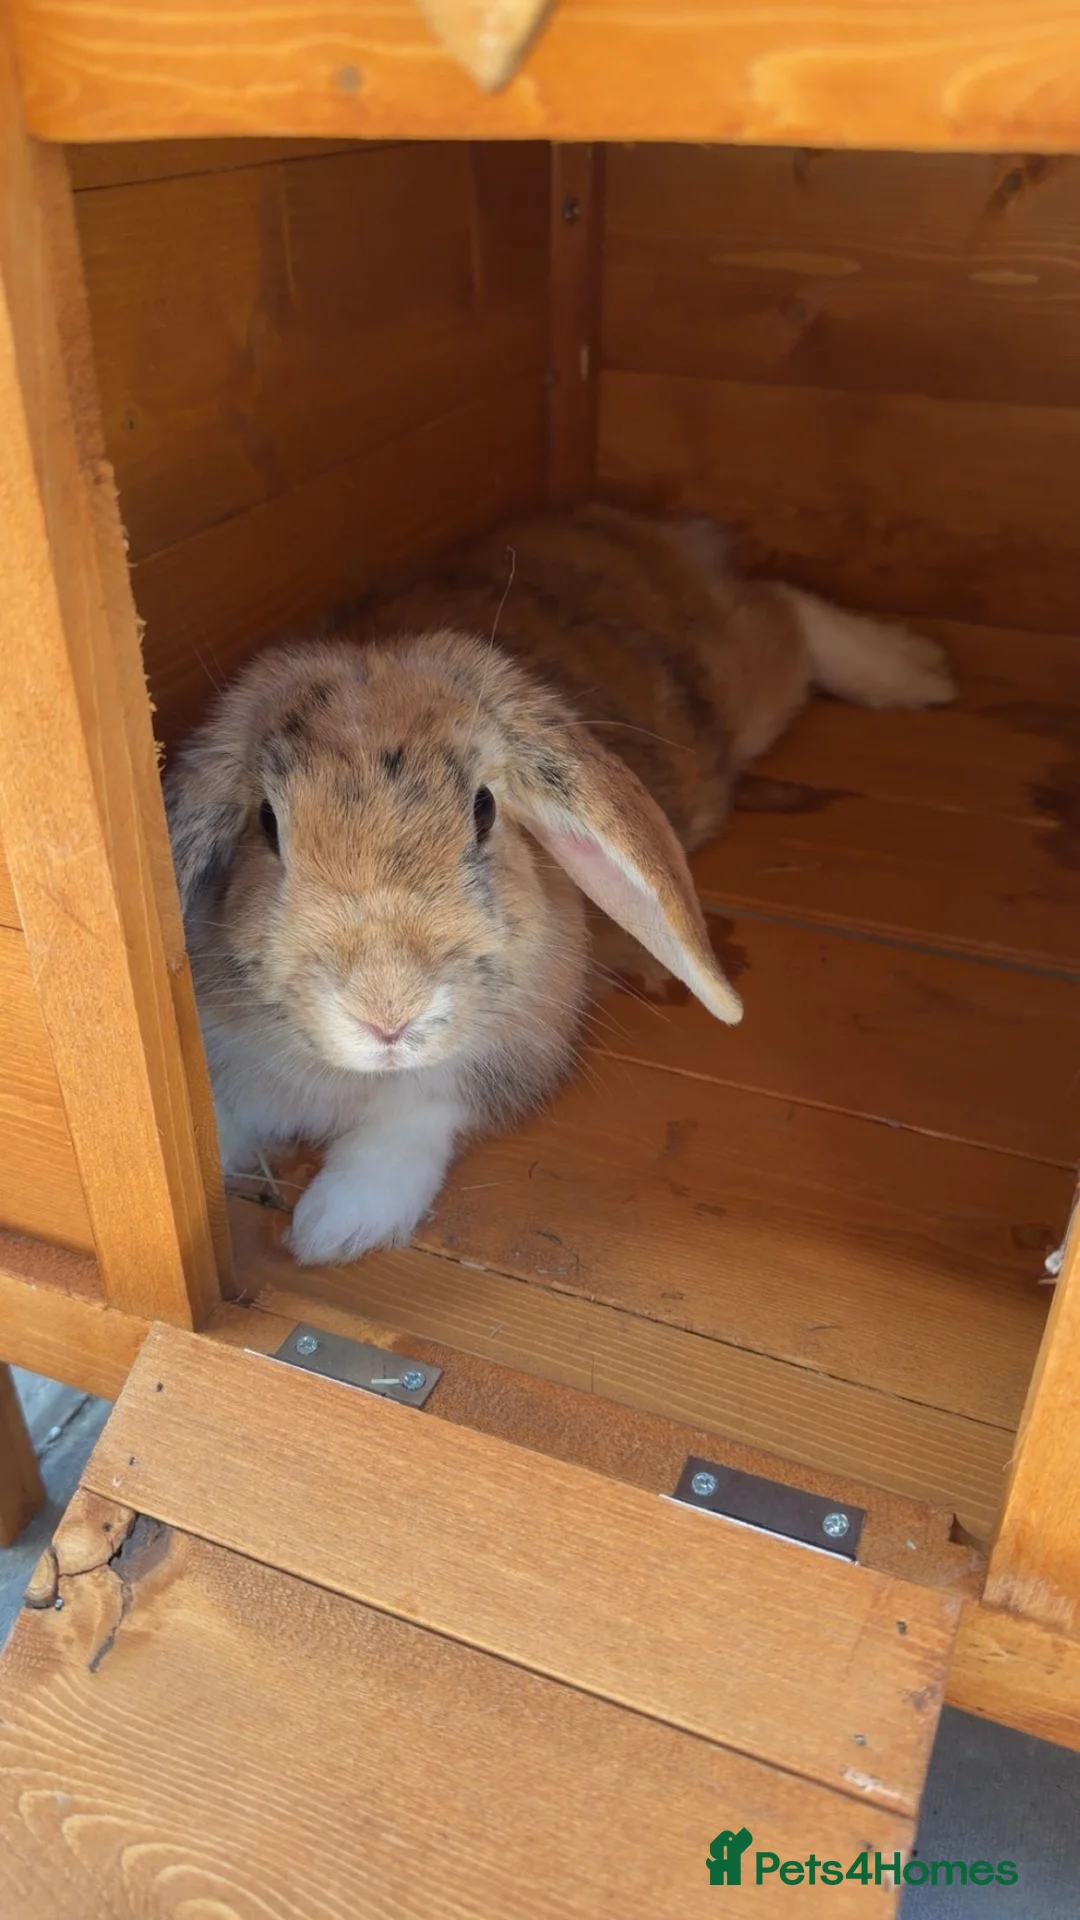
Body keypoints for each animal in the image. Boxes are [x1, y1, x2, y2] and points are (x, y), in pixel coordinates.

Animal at [166, 503, 954, 1266]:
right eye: (268, 825)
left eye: (484, 809)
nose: (388, 1014)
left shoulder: (502, 1061)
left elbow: (409, 1123)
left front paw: (336, 1227)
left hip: (744, 687)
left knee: (781, 606)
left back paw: (917, 672)